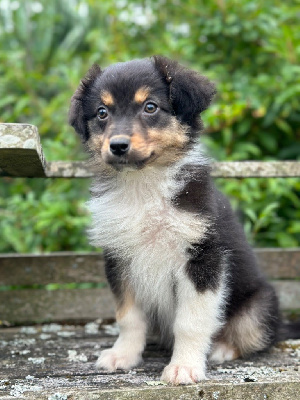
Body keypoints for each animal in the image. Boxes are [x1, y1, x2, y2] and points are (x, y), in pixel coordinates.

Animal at [69, 56, 292, 384]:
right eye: (101, 112)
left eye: (150, 107)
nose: (118, 145)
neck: (144, 185)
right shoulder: (119, 259)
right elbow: (128, 316)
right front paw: (124, 355)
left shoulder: (202, 258)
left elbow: (191, 321)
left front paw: (184, 366)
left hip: (260, 306)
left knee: (255, 336)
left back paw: (222, 348)